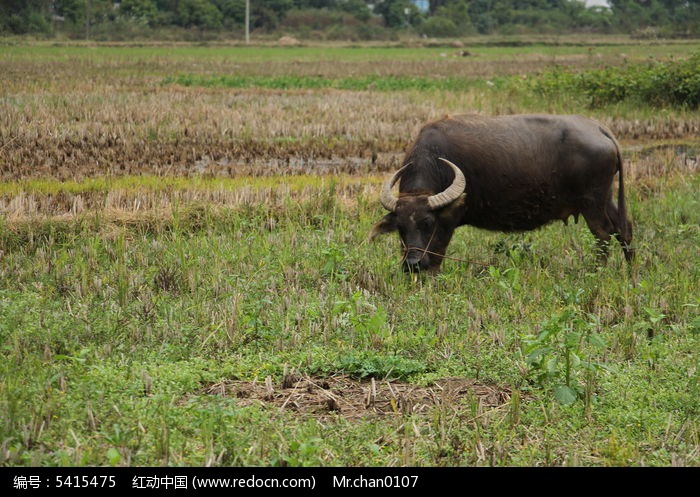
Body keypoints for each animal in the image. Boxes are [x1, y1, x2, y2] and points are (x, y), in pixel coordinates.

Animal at [372, 113, 636, 274]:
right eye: (400, 228)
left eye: (428, 223)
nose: (412, 264)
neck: (437, 162)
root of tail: (598, 129)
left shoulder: (447, 222)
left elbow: (438, 250)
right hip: (606, 198)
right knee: (624, 229)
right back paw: (631, 269)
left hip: (592, 202)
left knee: (603, 233)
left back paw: (597, 271)